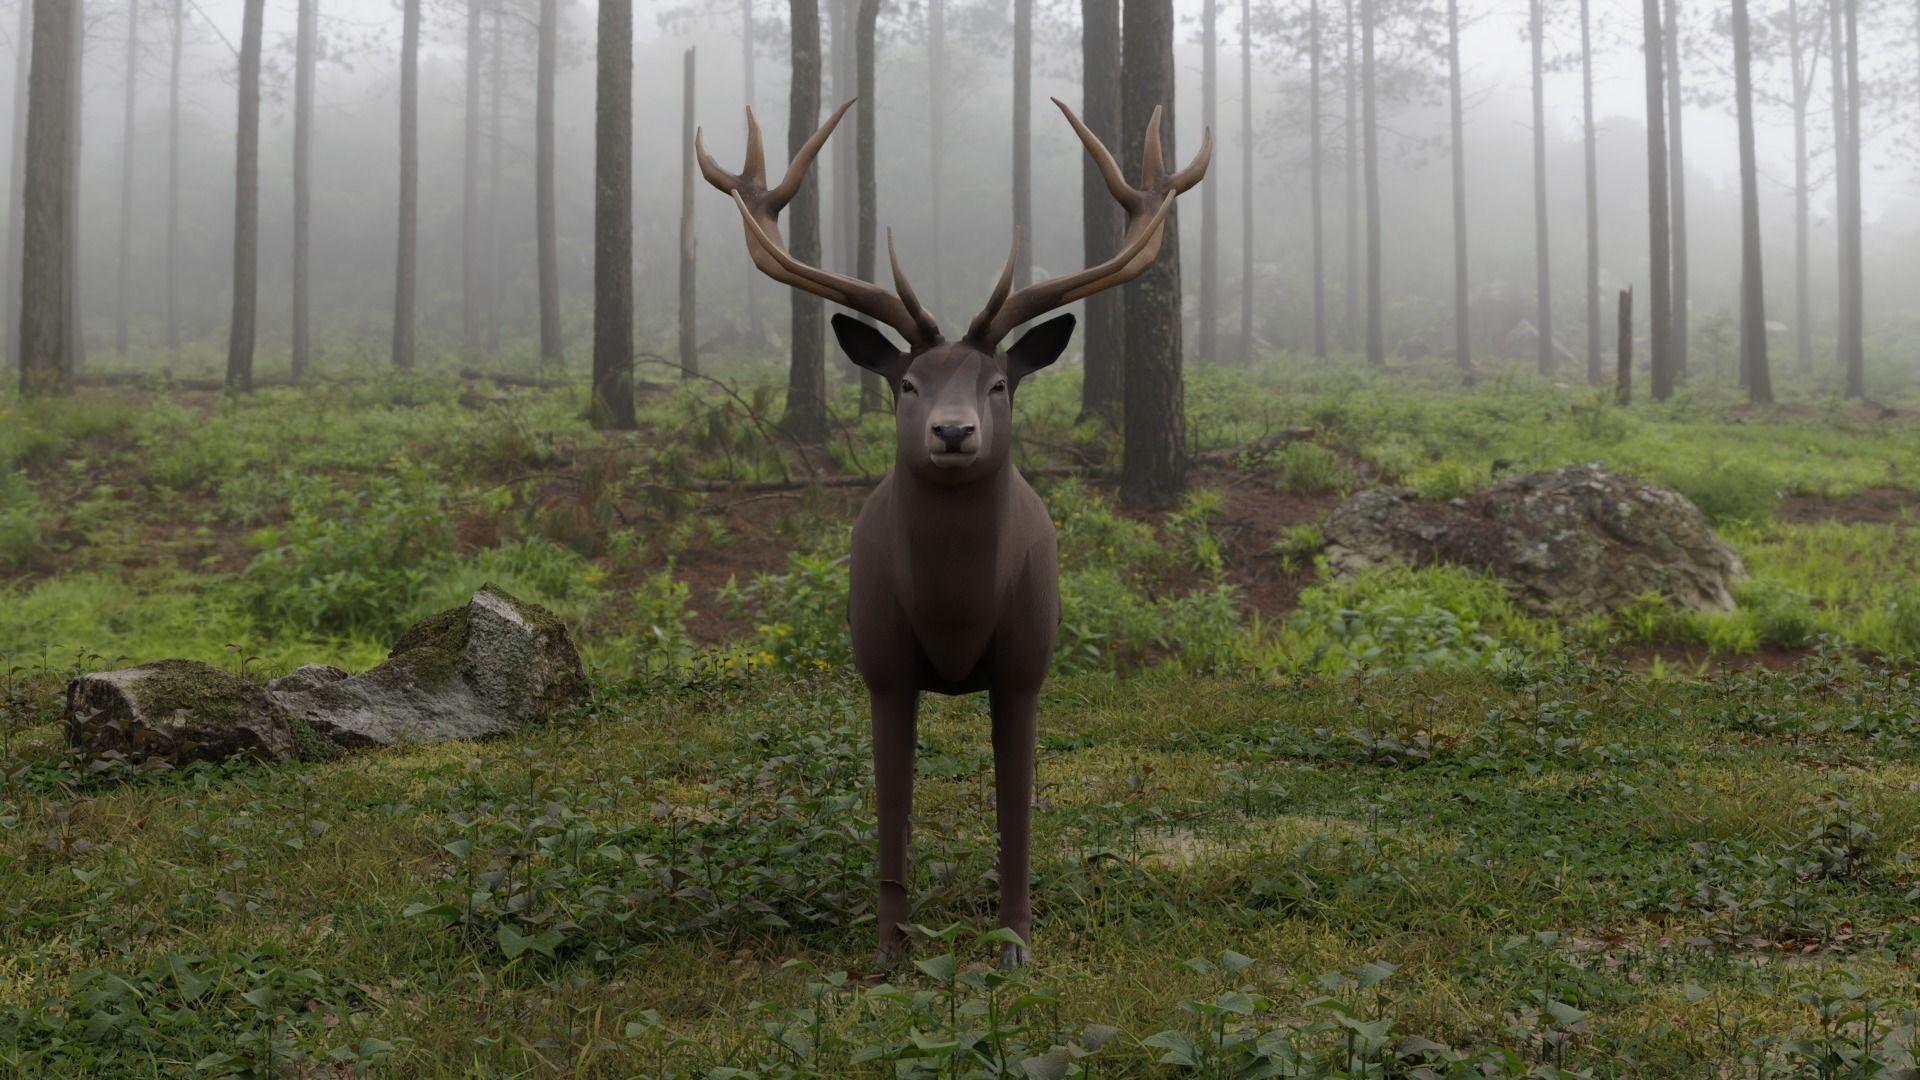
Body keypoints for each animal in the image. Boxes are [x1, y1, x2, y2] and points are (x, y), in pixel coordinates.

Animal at [696, 97, 1208, 967]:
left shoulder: (1026, 665)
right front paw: (889, 950)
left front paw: (1015, 944)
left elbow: (1016, 810)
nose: (954, 431)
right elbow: (890, 807)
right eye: (908, 384)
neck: (955, 606)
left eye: (998, 383)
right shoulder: (882, 664)